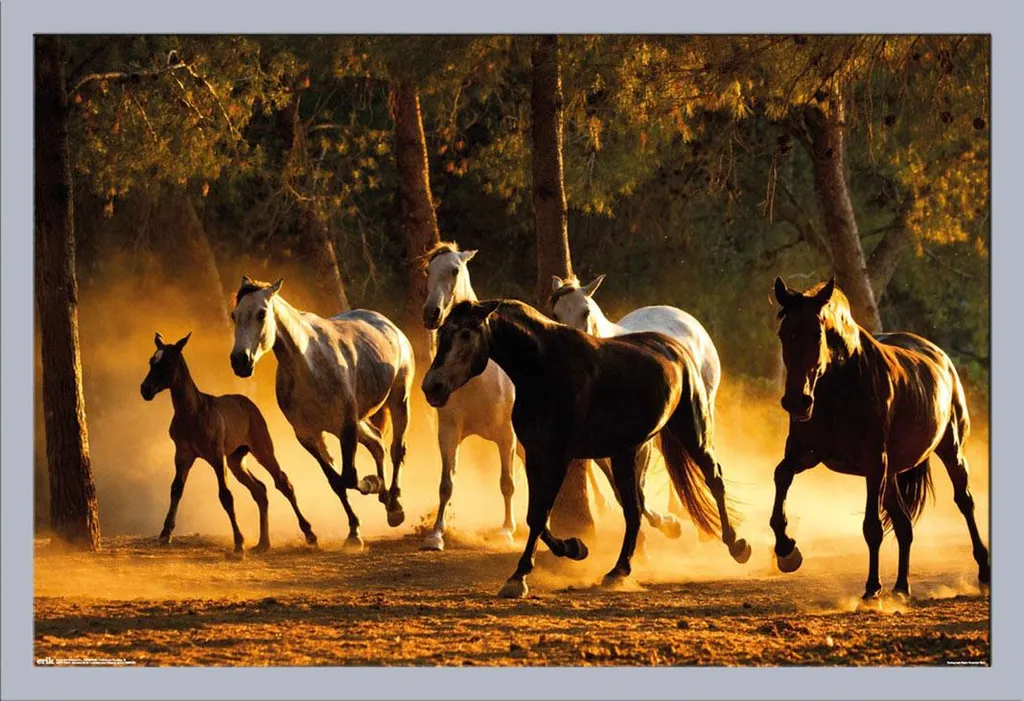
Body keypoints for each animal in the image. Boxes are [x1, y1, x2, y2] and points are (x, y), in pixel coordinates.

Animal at [141, 331, 317, 554]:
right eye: (151, 361)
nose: (145, 389)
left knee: (283, 483)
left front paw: (239, 542)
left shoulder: (217, 457)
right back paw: (263, 543)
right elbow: (176, 489)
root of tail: (248, 403)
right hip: (236, 460)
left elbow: (225, 495)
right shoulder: (183, 455)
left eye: (169, 362)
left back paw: (310, 534)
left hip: (262, 450)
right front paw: (165, 534)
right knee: (260, 489)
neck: (192, 413)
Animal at [229, 277, 414, 551]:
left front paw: (371, 485)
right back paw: (384, 497)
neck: (308, 365)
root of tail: (390, 326)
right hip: (358, 421)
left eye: (261, 313)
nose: (240, 361)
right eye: (234, 315)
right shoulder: (309, 435)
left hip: (398, 402)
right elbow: (336, 482)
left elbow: (350, 477)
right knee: (377, 444)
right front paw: (354, 531)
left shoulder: (345, 427)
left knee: (395, 449)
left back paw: (395, 507)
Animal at [421, 299, 750, 598]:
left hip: (692, 431)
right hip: (626, 452)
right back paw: (619, 570)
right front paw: (574, 548)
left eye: (465, 334)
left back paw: (736, 545)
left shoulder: (558, 457)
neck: (542, 370)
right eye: (442, 333)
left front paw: (519, 577)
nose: (431, 387)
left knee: (713, 478)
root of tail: (674, 348)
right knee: (634, 509)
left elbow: (539, 515)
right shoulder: (536, 455)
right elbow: (535, 516)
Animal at [770, 277, 990, 601]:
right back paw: (901, 587)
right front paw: (786, 549)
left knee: (965, 502)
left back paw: (983, 572)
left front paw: (872, 588)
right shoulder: (804, 454)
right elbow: (781, 476)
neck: (839, 387)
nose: (797, 402)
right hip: (893, 473)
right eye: (783, 333)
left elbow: (871, 528)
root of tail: (941, 358)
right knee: (904, 523)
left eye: (817, 333)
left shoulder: (874, 464)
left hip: (950, 452)